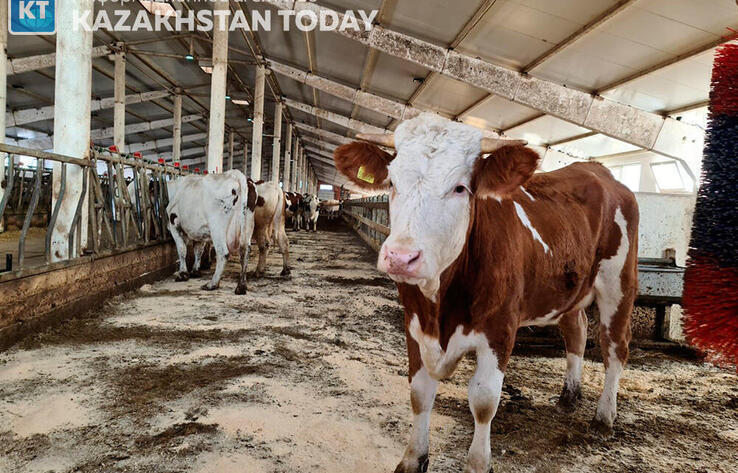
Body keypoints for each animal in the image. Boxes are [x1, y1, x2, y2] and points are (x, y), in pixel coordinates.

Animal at [334, 113, 640, 472]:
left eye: (460, 187)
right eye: (393, 183)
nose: (401, 257)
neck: (440, 307)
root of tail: (599, 171)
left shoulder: (500, 329)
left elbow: (483, 401)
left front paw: (479, 463)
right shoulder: (414, 323)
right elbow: (419, 393)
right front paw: (412, 459)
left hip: (619, 284)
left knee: (615, 347)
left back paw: (604, 416)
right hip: (572, 290)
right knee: (576, 330)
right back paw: (569, 396)